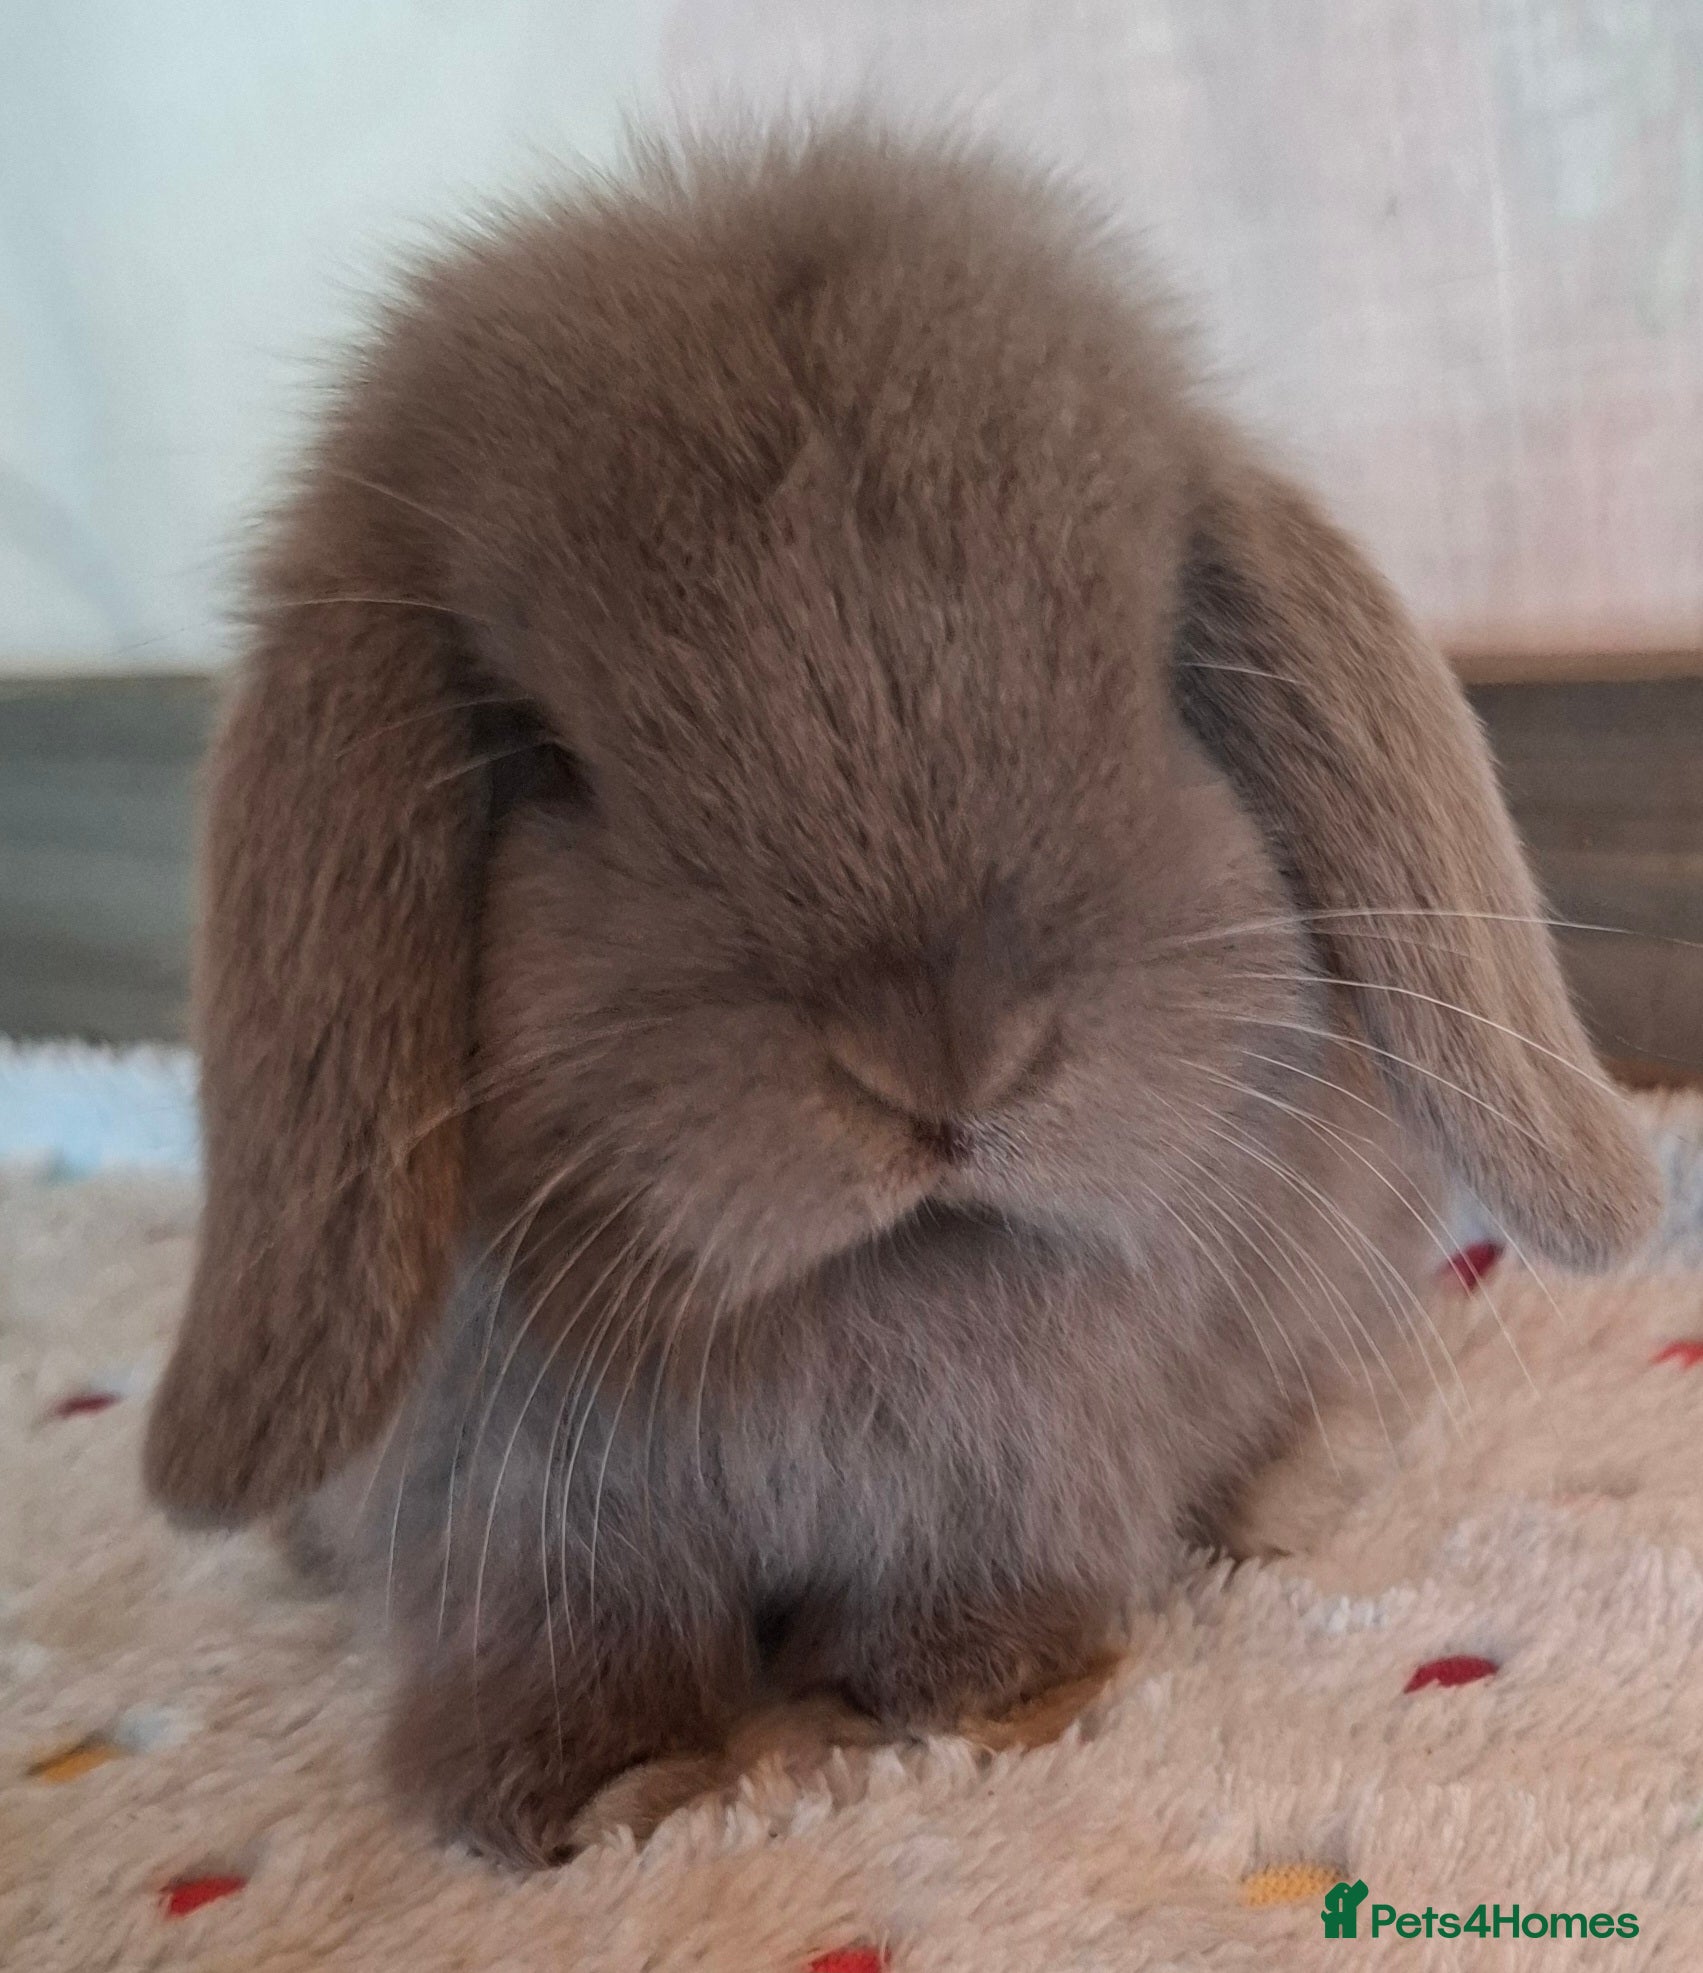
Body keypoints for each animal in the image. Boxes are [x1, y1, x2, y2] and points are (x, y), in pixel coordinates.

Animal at [143, 126, 1660, 1868]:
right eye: (540, 756)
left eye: (1150, 673)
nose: (946, 1064)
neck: (874, 1293)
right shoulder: (517, 1515)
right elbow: (561, 1638)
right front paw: (582, 1793)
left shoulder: (1018, 1465)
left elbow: (977, 1583)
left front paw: (958, 1696)